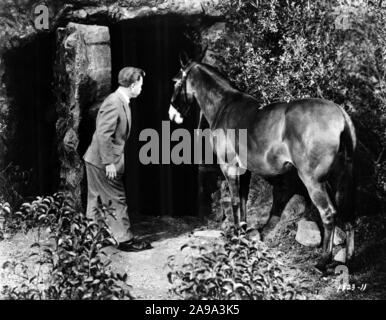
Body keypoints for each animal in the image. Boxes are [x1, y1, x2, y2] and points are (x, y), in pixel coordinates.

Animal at [169, 55, 356, 270]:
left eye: (176, 82)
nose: (172, 115)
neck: (224, 106)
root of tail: (340, 115)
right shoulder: (244, 170)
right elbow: (243, 200)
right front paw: (242, 235)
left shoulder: (229, 168)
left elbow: (234, 201)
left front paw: (236, 237)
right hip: (340, 180)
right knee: (348, 214)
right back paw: (350, 260)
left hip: (314, 181)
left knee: (328, 214)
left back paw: (323, 261)